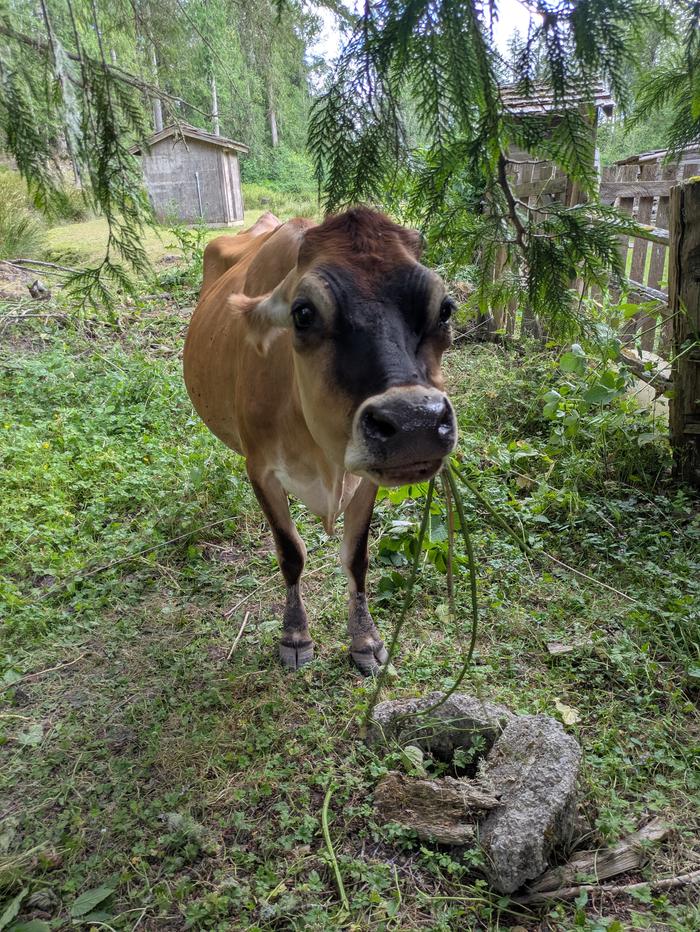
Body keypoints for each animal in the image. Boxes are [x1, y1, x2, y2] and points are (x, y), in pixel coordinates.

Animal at [183, 207, 457, 674]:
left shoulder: (365, 477)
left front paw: (365, 640)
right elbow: (291, 552)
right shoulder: (261, 469)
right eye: (303, 314)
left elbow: (356, 557)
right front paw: (295, 636)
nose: (414, 423)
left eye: (445, 309)